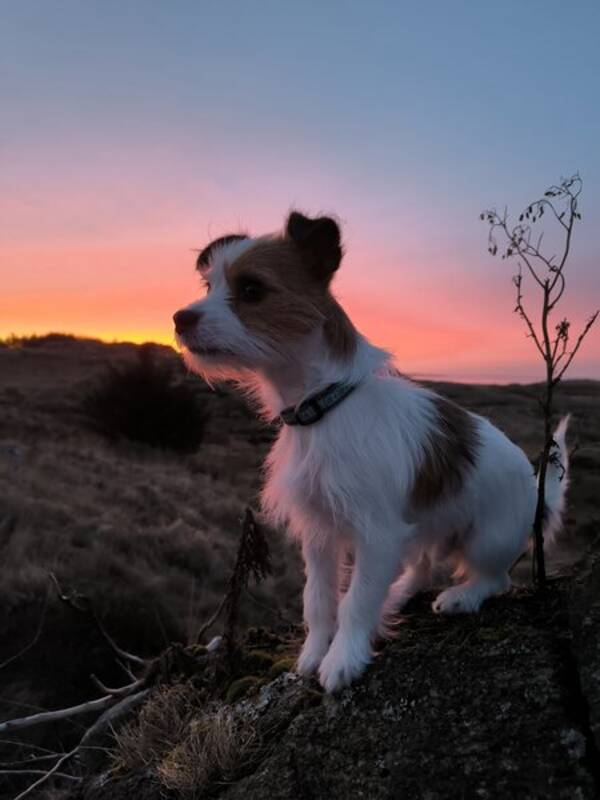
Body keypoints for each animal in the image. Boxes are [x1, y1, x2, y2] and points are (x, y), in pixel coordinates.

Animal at [172, 212, 568, 692]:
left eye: (251, 290)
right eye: (208, 285)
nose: (179, 318)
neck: (322, 407)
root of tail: (538, 490)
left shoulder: (376, 533)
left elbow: (356, 600)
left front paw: (343, 658)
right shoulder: (319, 532)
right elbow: (319, 599)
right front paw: (312, 654)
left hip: (486, 538)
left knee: (495, 577)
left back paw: (461, 596)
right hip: (421, 527)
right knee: (422, 565)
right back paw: (397, 594)